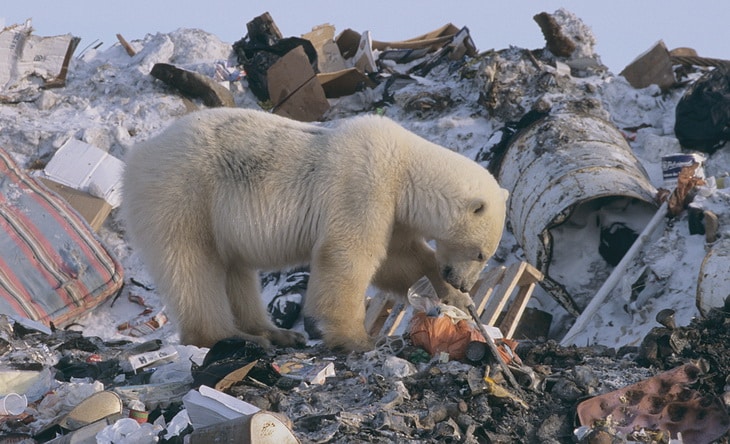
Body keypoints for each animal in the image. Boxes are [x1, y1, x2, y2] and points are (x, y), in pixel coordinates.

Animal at [122, 107, 506, 350]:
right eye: (480, 253)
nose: (464, 282)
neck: (404, 167)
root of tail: (137, 157)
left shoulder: (393, 211)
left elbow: (401, 260)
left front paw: (455, 299)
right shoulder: (363, 186)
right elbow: (349, 254)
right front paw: (357, 339)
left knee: (235, 270)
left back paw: (275, 333)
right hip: (184, 194)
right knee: (192, 265)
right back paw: (231, 337)